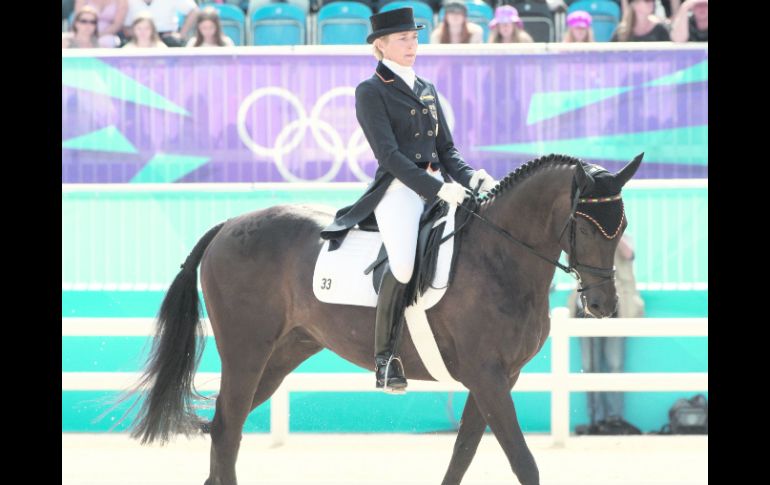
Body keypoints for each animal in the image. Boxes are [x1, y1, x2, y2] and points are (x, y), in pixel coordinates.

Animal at [124, 152, 640, 484]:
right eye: (585, 228)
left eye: (622, 229)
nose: (603, 306)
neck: (500, 255)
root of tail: (227, 225)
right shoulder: (487, 375)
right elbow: (523, 462)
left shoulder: (498, 378)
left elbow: (462, 454)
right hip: (245, 353)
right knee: (228, 431)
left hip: (279, 357)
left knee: (222, 429)